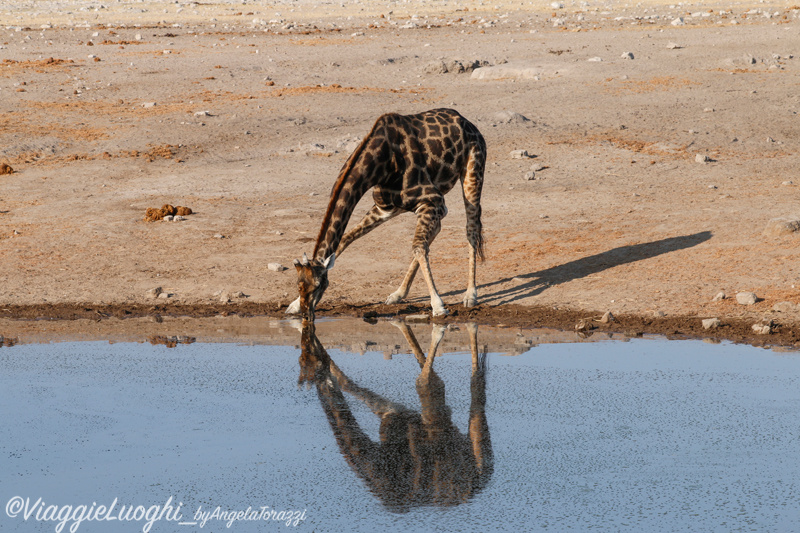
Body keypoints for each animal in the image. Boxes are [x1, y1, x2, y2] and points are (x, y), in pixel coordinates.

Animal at [290, 106, 488, 318]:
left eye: (319, 285)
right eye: (298, 285)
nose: (307, 315)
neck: (381, 163)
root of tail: (467, 123)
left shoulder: (431, 199)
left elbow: (418, 247)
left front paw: (438, 305)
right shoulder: (385, 208)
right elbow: (346, 239)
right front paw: (293, 305)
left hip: (472, 172)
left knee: (471, 228)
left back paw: (470, 295)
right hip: (426, 205)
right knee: (436, 230)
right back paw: (397, 294)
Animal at [296, 320, 490, 512]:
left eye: (307, 357)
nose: (310, 334)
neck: (378, 467)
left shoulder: (430, 421)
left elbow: (426, 382)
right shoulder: (392, 413)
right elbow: (348, 384)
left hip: (478, 451)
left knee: (476, 387)